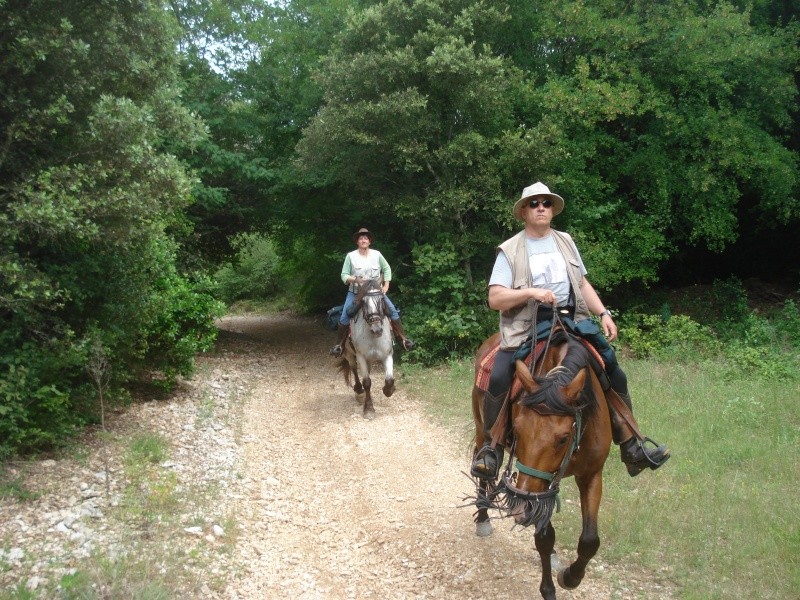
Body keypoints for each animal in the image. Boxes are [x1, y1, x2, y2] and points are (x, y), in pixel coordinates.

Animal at [472, 330, 616, 596]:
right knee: (483, 470)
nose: (521, 511)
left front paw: (571, 577)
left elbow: (590, 540)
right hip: (480, 429)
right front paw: (549, 589)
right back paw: (483, 517)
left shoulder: (591, 474)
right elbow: (544, 537)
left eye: (563, 438)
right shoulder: (535, 487)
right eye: (517, 430)